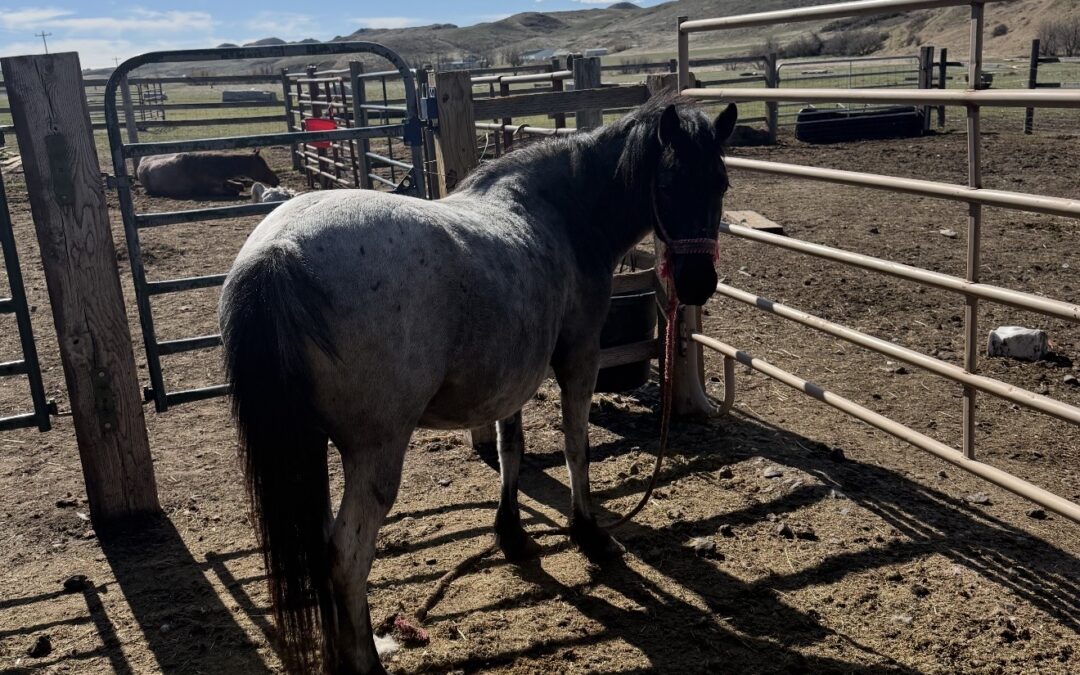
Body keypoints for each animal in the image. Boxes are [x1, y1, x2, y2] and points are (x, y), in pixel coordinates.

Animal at [219, 93, 737, 674]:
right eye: (668, 184)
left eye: (720, 183)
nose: (698, 282)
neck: (559, 213)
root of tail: (278, 254)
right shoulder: (579, 359)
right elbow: (575, 447)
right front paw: (588, 533)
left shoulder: (511, 376)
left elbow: (511, 448)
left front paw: (511, 535)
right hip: (375, 451)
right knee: (345, 559)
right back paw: (368, 662)